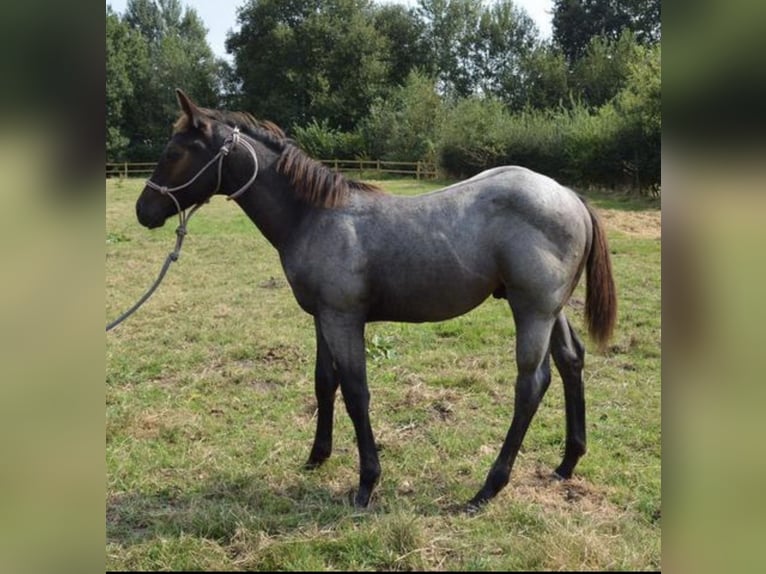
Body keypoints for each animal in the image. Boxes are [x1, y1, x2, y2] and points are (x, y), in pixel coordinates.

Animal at [136, 91, 616, 512]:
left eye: (176, 151)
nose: (144, 210)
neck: (314, 215)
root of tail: (571, 196)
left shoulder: (344, 318)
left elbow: (355, 391)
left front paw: (366, 483)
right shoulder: (322, 317)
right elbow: (324, 381)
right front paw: (317, 456)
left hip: (532, 310)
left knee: (531, 384)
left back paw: (488, 488)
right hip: (552, 310)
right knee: (571, 360)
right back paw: (567, 462)